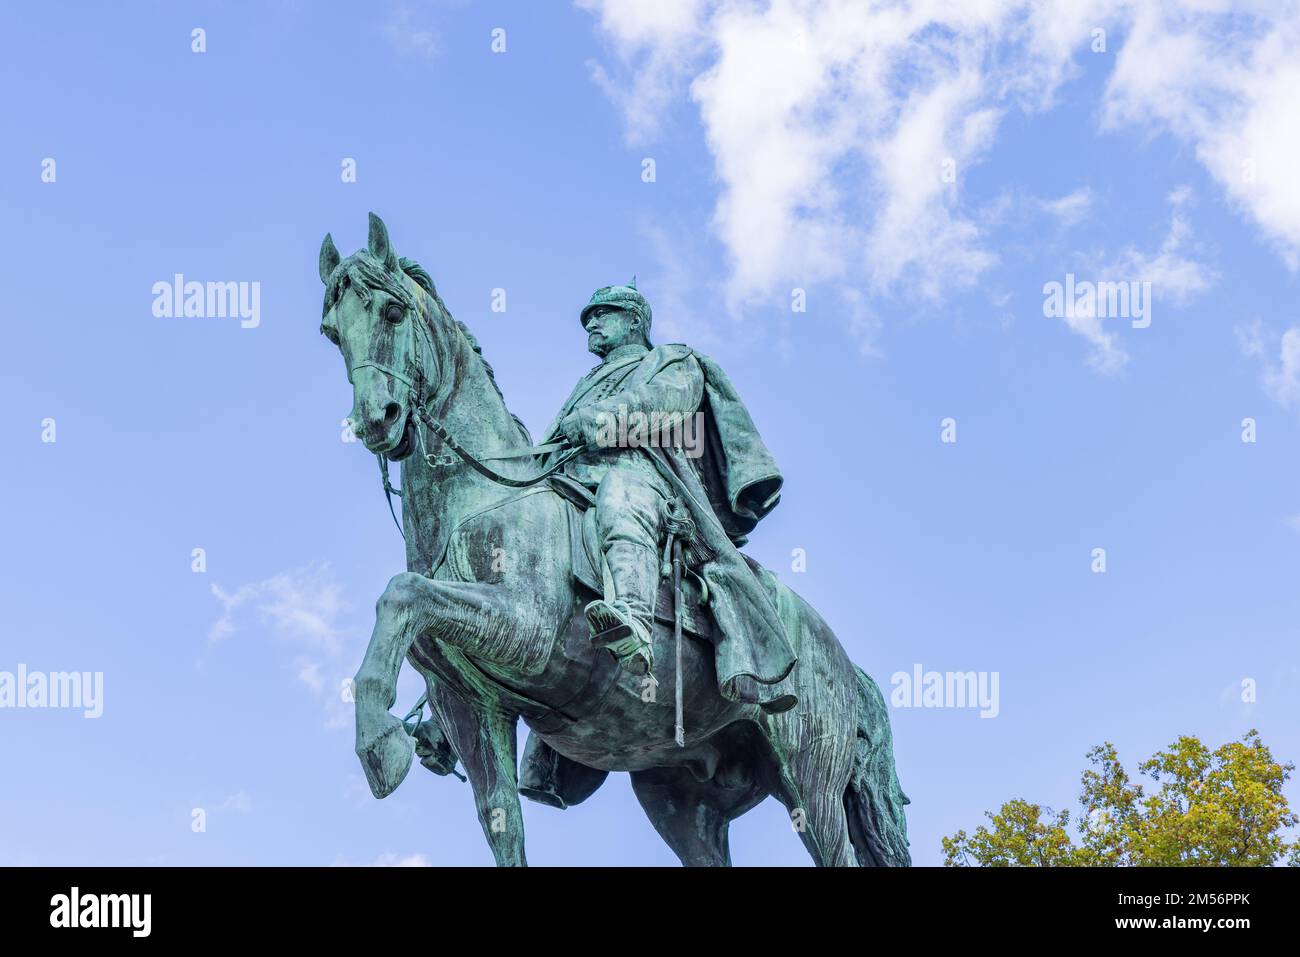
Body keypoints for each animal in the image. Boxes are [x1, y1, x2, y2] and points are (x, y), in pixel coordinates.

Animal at [319, 210, 909, 868]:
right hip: (680, 799)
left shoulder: (524, 628)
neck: (482, 497)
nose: (378, 420)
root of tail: (845, 662)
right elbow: (503, 826)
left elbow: (403, 592)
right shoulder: (469, 705)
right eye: (332, 332)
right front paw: (388, 739)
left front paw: (379, 746)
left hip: (812, 783)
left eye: (393, 311)